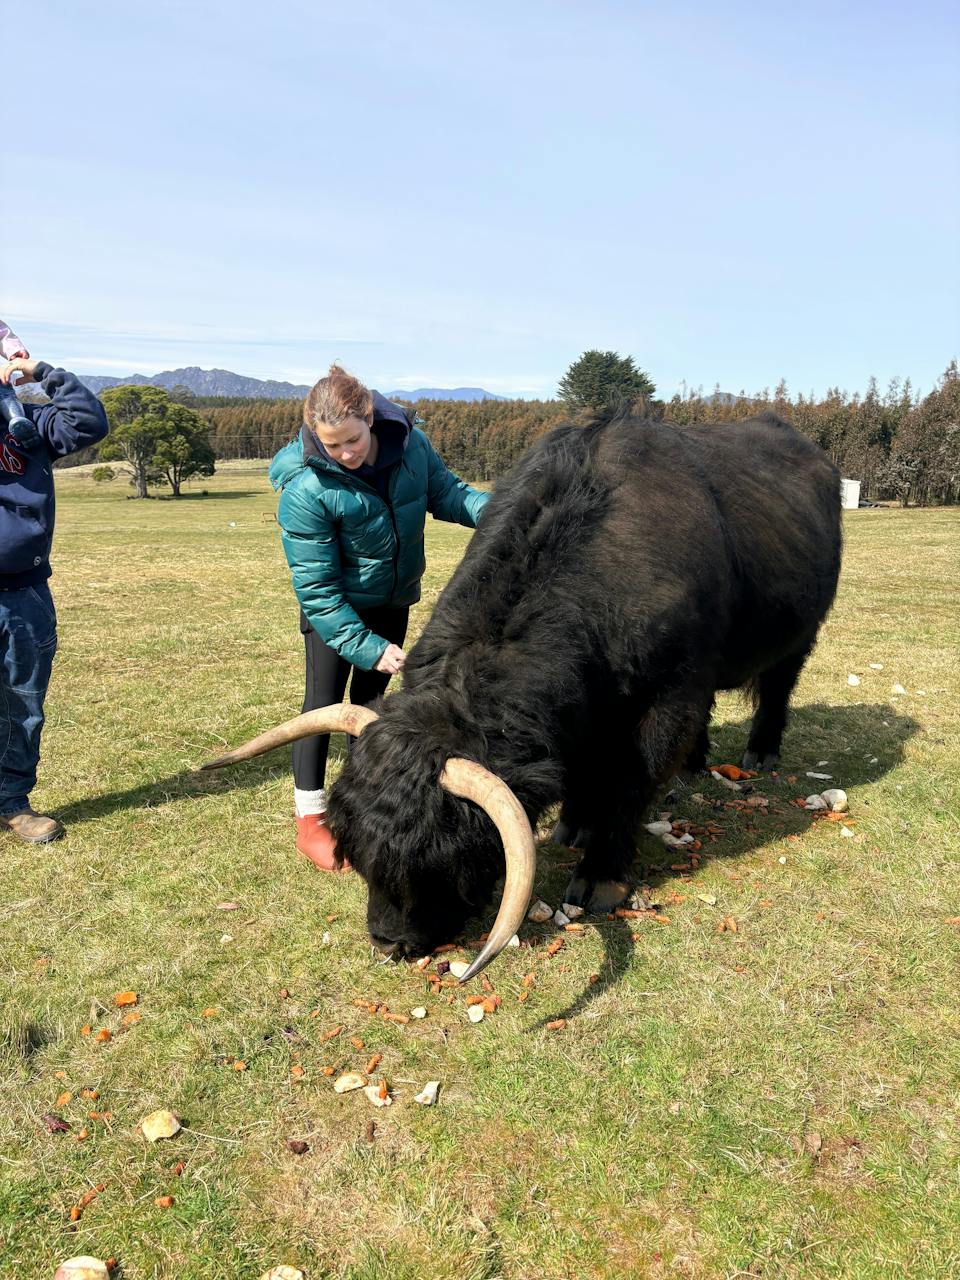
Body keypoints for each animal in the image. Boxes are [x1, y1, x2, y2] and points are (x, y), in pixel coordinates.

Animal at [204, 409, 841, 981]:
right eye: (355, 852)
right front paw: (572, 825)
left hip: (798, 634)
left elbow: (629, 785)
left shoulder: (667, 699)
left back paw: (760, 753)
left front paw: (601, 875)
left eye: (441, 862)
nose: (388, 943)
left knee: (778, 686)